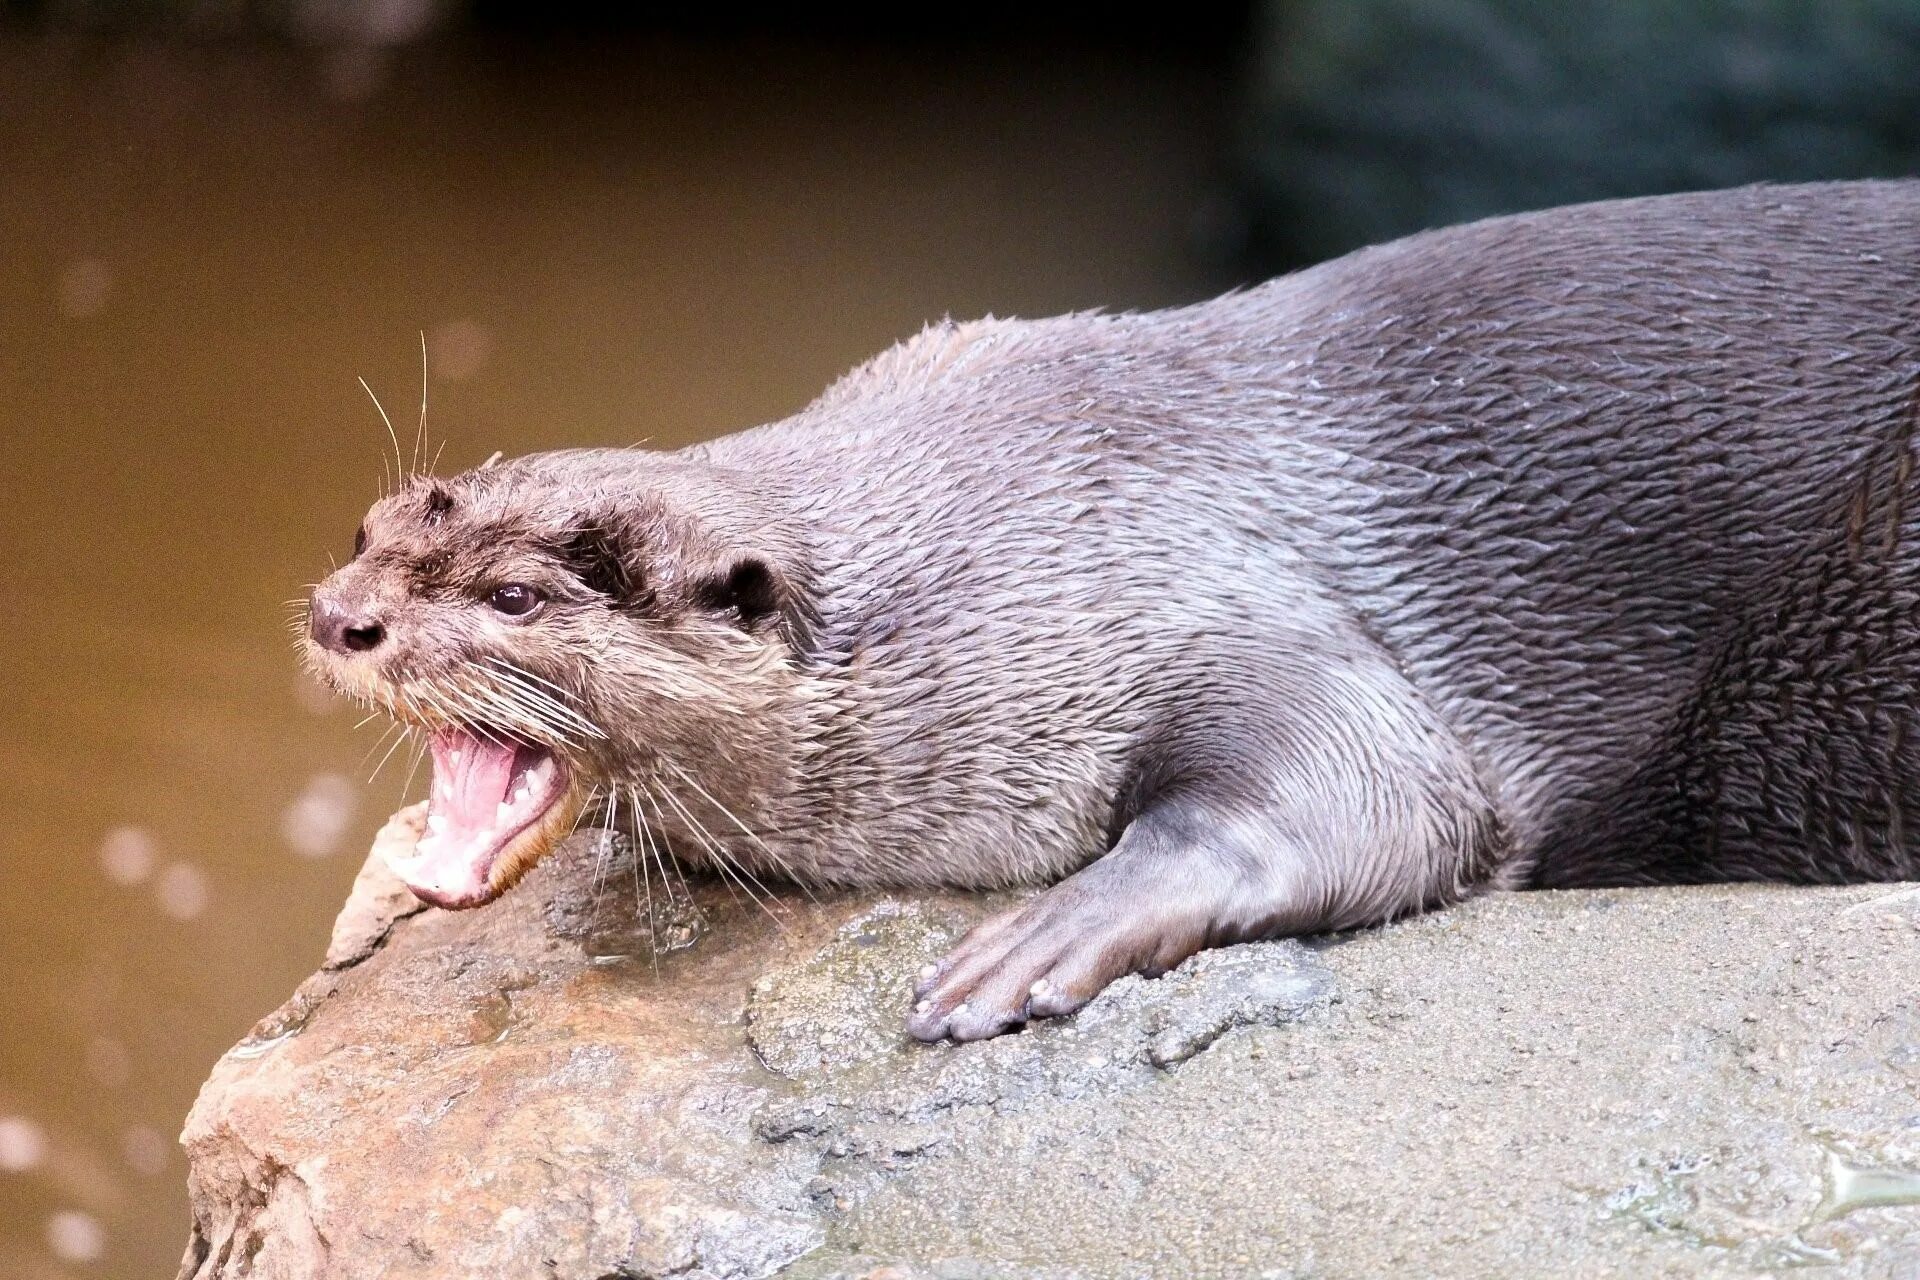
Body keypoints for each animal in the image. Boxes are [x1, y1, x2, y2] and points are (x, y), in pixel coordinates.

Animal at [307, 177, 1920, 1043]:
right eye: (367, 531)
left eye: (516, 593)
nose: (339, 618)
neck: (986, 540)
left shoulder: (1188, 575)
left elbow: (1380, 793)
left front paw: (1037, 939)